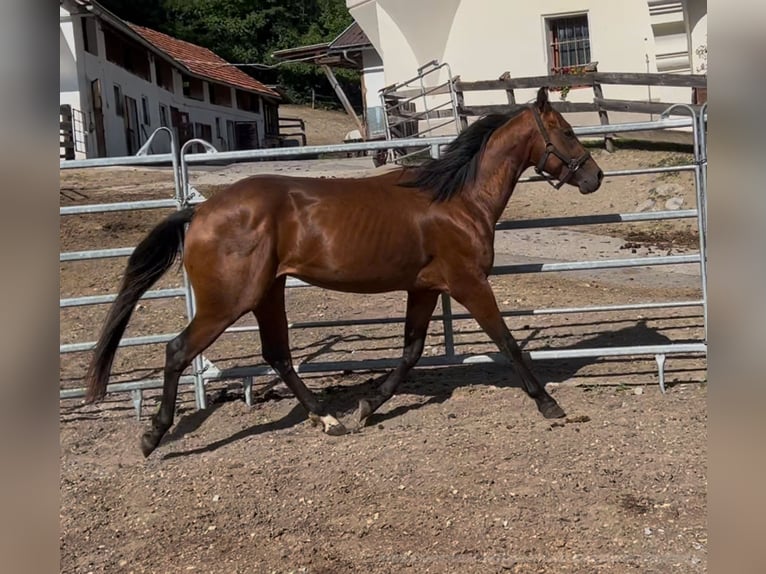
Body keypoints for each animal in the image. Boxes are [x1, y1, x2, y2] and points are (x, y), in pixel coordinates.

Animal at [85, 87, 603, 457]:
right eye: (568, 132)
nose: (594, 177)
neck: (457, 199)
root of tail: (199, 212)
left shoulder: (424, 288)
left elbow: (412, 352)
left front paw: (367, 406)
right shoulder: (469, 283)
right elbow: (507, 341)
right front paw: (550, 404)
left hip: (268, 293)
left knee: (278, 355)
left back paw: (328, 419)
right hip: (228, 301)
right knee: (178, 350)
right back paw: (153, 436)